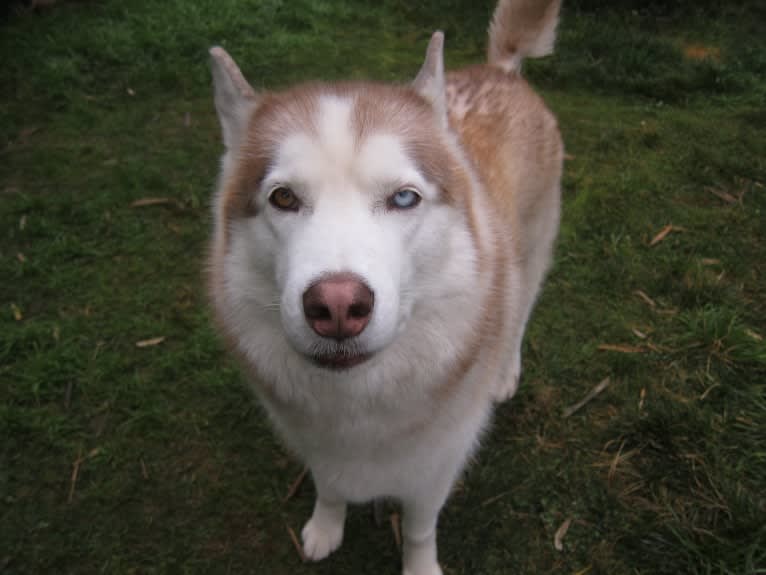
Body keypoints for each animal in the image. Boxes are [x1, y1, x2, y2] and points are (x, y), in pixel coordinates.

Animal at [208, 1, 564, 572]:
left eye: (403, 198)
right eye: (283, 198)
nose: (336, 306)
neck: (360, 399)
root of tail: (501, 71)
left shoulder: (435, 466)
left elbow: (419, 528)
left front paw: (420, 566)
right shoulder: (320, 448)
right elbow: (330, 487)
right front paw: (325, 526)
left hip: (533, 251)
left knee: (521, 311)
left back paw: (506, 369)